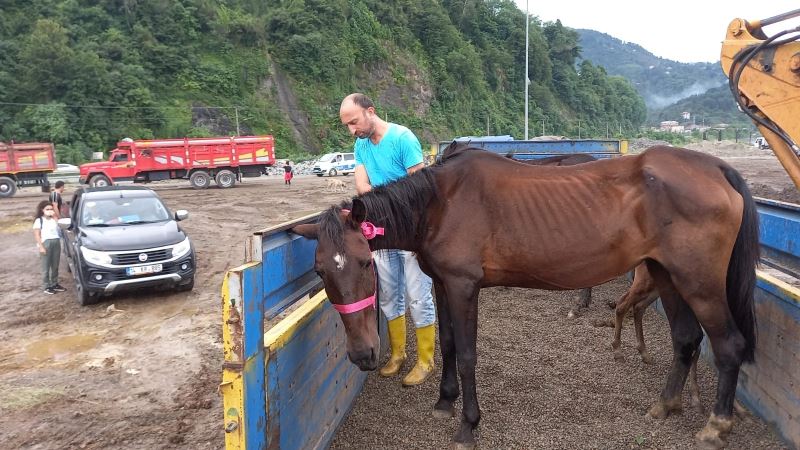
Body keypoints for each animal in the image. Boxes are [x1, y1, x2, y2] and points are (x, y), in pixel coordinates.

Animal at [290, 146, 760, 448]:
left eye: (365, 263)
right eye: (321, 271)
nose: (363, 355)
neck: (440, 203)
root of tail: (717, 168)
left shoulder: (463, 287)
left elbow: (467, 354)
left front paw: (468, 425)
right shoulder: (442, 283)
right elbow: (447, 344)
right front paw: (444, 402)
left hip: (698, 282)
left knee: (729, 345)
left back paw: (716, 427)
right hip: (665, 275)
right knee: (686, 339)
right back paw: (664, 406)